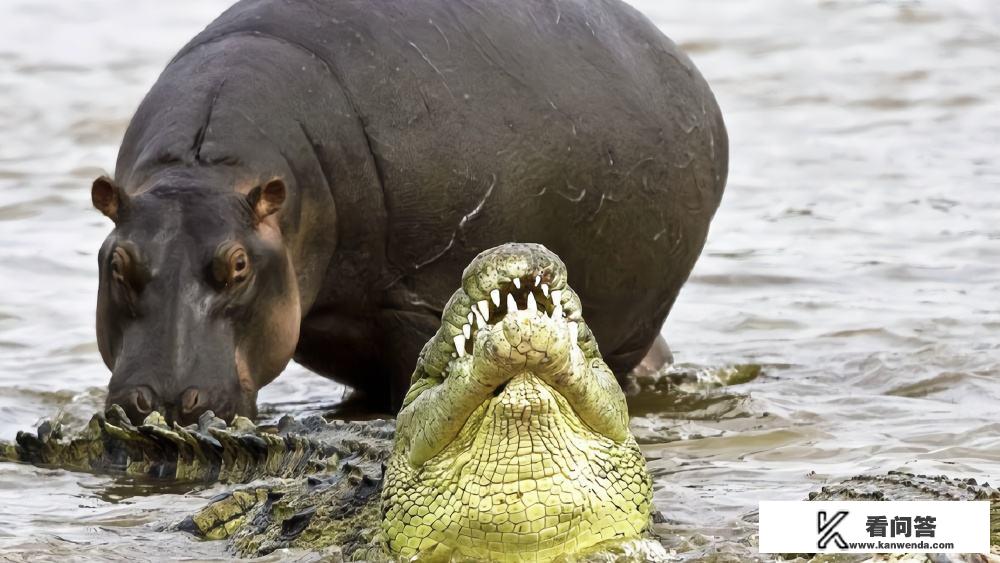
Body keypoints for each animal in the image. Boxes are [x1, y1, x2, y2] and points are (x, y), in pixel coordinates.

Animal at [92, 0, 728, 426]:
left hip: (633, 322)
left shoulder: (415, 304)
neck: (207, 170)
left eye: (239, 266)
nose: (163, 401)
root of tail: (686, 69)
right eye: (115, 262)